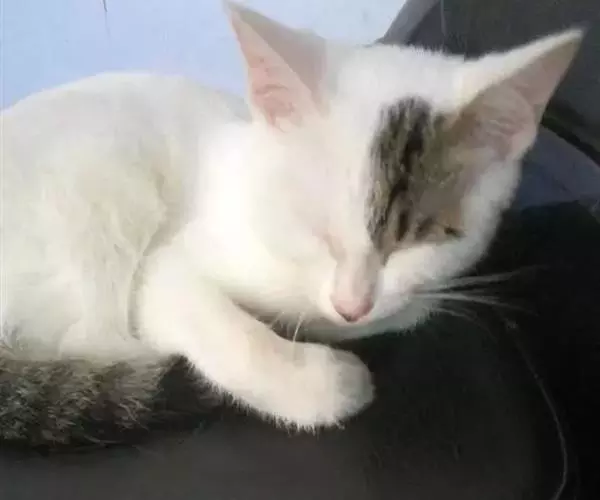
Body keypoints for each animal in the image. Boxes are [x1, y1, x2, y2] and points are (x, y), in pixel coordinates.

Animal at [0, 2, 581, 447]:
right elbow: (216, 324)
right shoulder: (170, 266)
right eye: (316, 227)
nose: (351, 304)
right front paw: (329, 380)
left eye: (418, 238)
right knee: (90, 338)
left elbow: (402, 308)